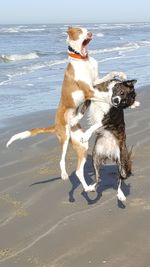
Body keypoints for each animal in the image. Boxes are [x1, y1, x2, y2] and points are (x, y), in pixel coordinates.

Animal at [6, 27, 127, 194]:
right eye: (80, 31)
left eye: (86, 29)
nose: (90, 33)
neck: (83, 60)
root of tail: (55, 124)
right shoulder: (88, 90)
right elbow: (104, 95)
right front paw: (114, 97)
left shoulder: (95, 82)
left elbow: (109, 75)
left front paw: (120, 74)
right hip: (64, 137)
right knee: (61, 161)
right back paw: (64, 174)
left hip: (81, 143)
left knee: (78, 171)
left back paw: (88, 188)